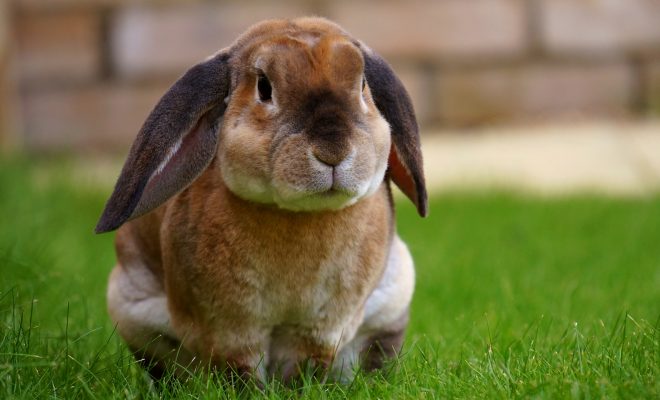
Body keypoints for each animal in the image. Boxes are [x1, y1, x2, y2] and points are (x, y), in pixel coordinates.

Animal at [96, 16, 427, 383]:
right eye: (264, 88)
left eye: (363, 84)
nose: (333, 151)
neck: (298, 215)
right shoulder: (230, 329)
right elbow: (240, 369)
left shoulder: (319, 329)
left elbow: (305, 366)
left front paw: (301, 387)